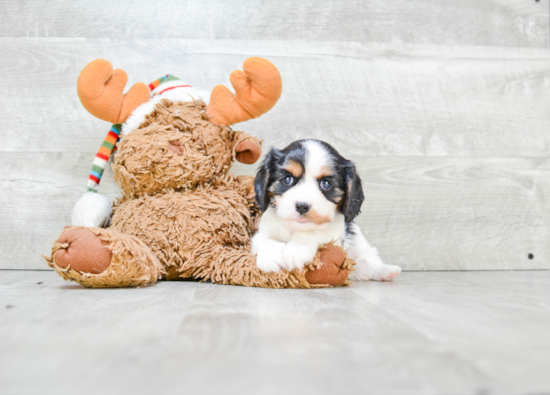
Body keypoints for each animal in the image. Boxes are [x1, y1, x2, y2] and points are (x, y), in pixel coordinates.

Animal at [252, 139, 404, 282]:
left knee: (369, 256)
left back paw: (384, 270)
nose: (302, 205)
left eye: (325, 184)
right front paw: (270, 255)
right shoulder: (264, 229)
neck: (296, 228)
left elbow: (317, 232)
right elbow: (261, 239)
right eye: (288, 179)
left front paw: (298, 248)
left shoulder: (336, 235)